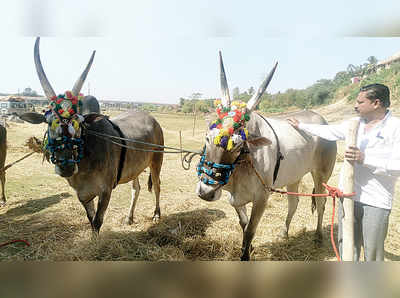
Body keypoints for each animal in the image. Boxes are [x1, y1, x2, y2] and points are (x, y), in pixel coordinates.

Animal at [19, 37, 164, 233]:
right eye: (49, 122)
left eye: (78, 123)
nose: (66, 166)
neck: (85, 160)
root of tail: (151, 118)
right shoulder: (83, 195)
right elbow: (90, 220)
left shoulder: (106, 191)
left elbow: (97, 222)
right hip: (136, 167)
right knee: (137, 188)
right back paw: (129, 217)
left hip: (157, 161)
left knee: (157, 186)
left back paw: (156, 214)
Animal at [195, 52, 336, 260]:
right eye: (207, 137)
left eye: (238, 145)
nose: (206, 192)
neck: (242, 166)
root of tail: (323, 120)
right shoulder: (234, 198)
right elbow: (244, 225)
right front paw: (249, 248)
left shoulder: (262, 198)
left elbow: (250, 231)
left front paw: (246, 255)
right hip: (294, 176)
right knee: (293, 202)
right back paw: (284, 232)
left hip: (322, 174)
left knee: (321, 202)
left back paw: (318, 236)